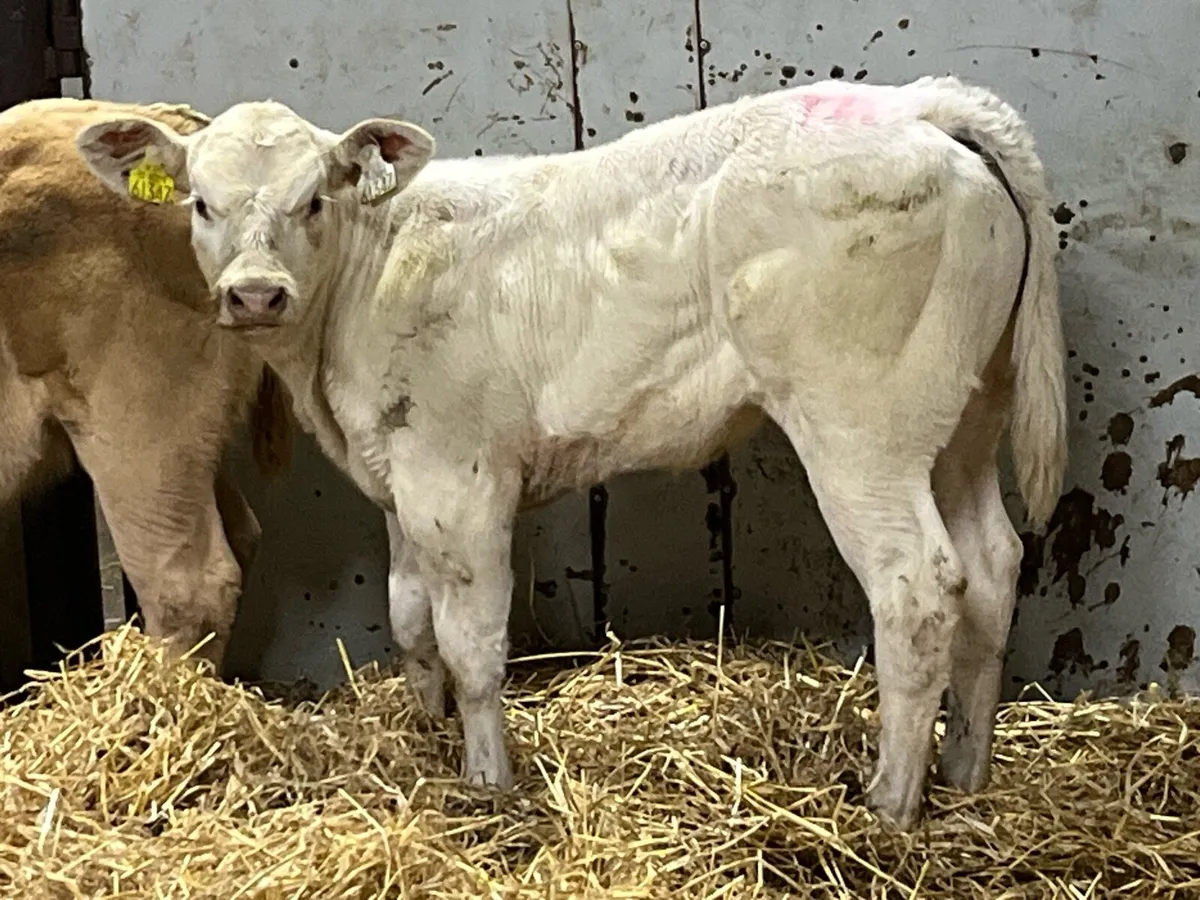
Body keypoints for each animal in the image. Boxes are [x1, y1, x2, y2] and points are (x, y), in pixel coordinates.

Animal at [75, 74, 1068, 830]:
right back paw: (965, 775)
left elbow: (472, 644)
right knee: (991, 565)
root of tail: (914, 104)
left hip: (859, 427)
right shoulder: (400, 481)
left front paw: (488, 785)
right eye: (201, 203)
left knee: (919, 587)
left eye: (312, 200)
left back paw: (891, 806)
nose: (255, 294)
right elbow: (409, 621)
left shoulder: (461, 480)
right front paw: (428, 739)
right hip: (964, 420)